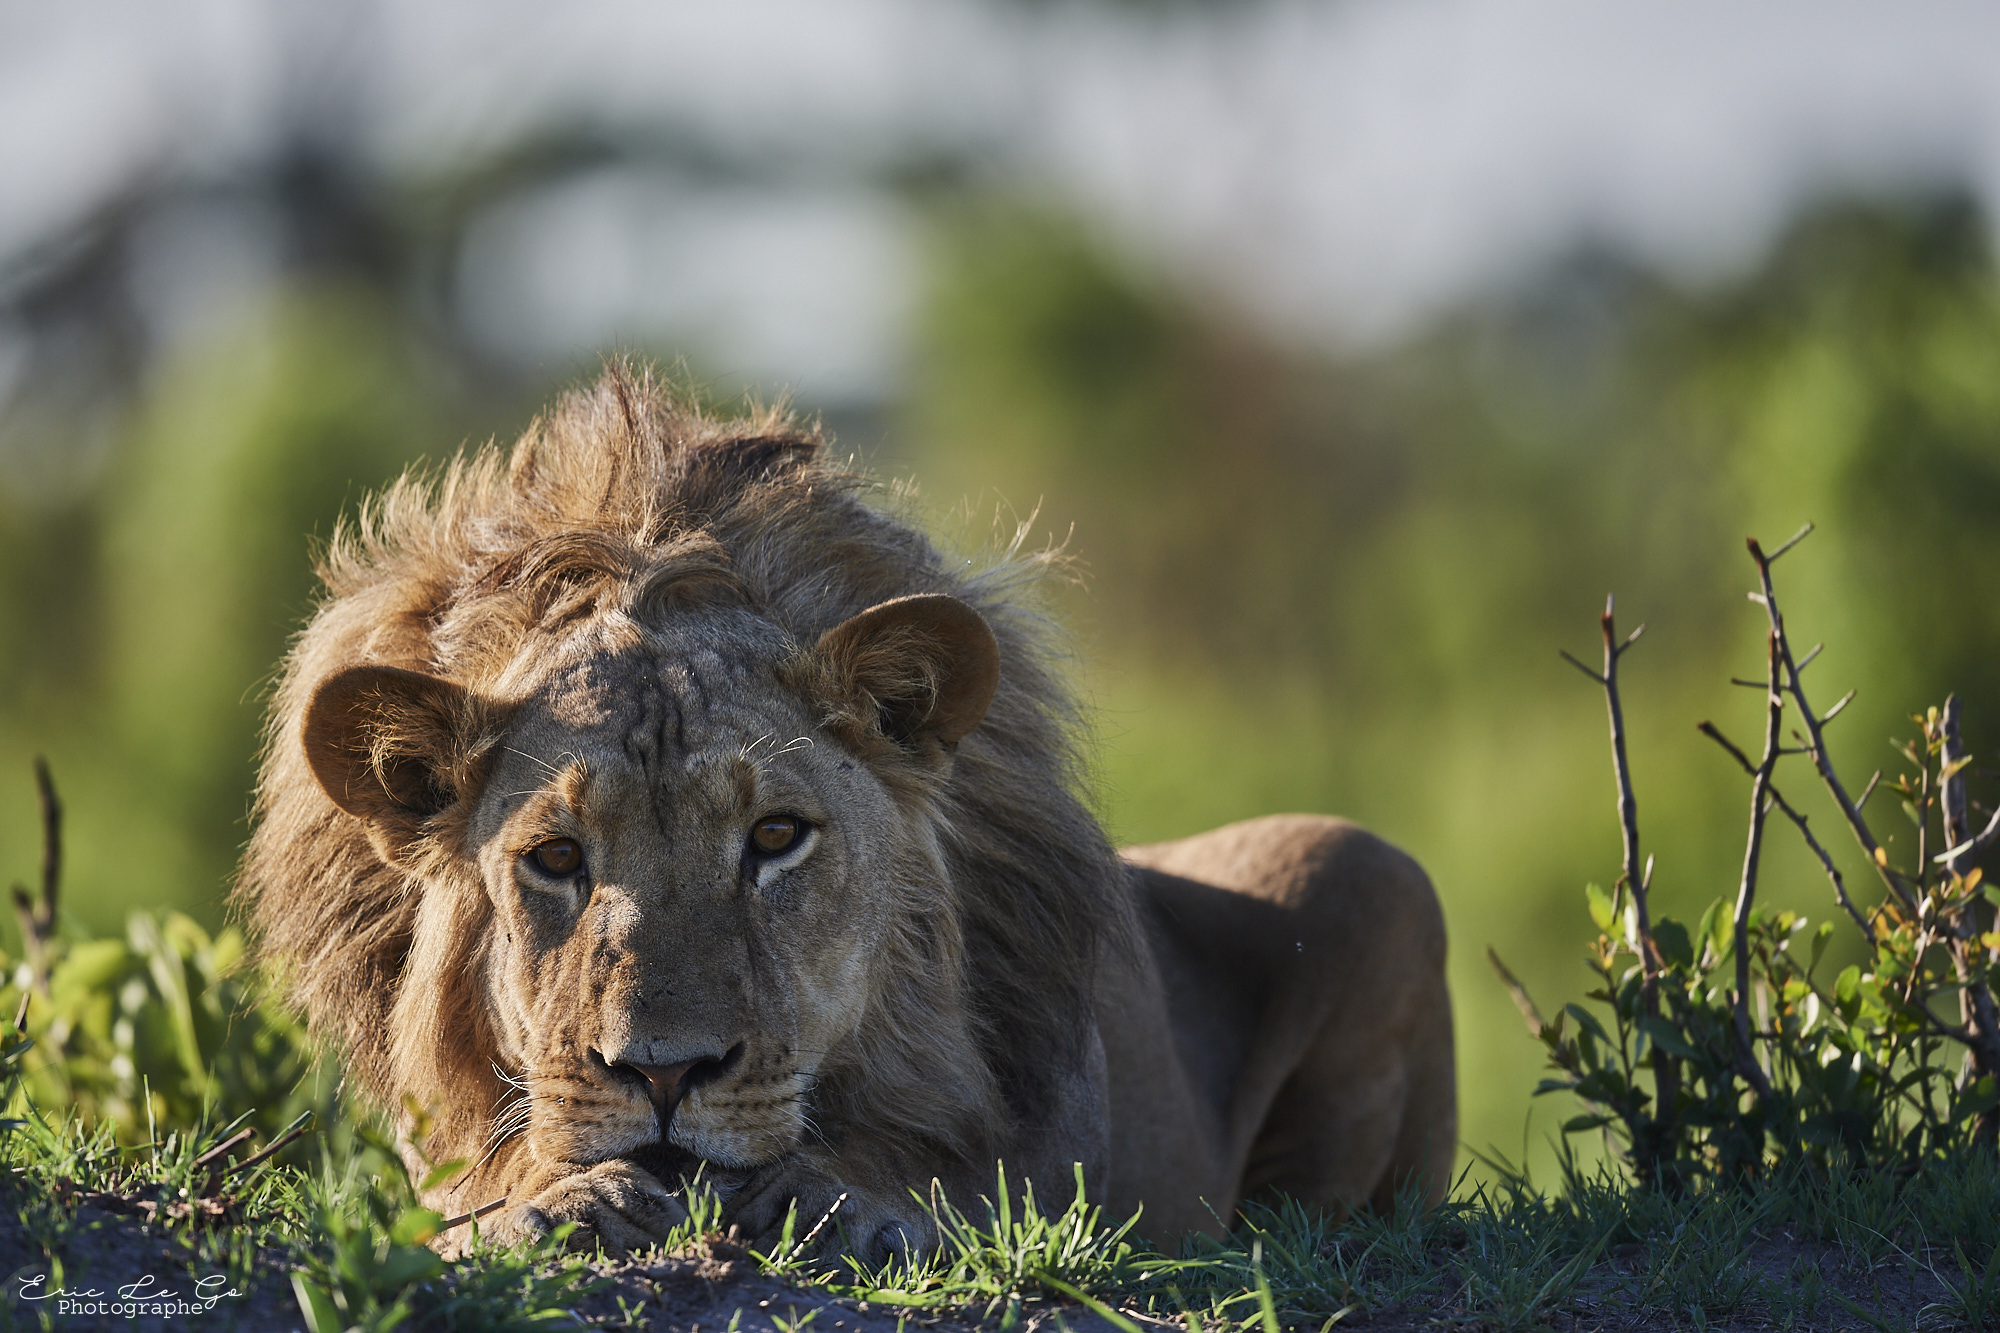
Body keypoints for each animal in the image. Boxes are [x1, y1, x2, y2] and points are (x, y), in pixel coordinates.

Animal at [237, 365, 1453, 1264]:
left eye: (776, 838)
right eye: (555, 856)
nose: (664, 1073)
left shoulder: (1061, 1115)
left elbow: (963, 1174)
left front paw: (850, 1200)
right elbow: (477, 1162)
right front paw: (553, 1196)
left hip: (1364, 864)